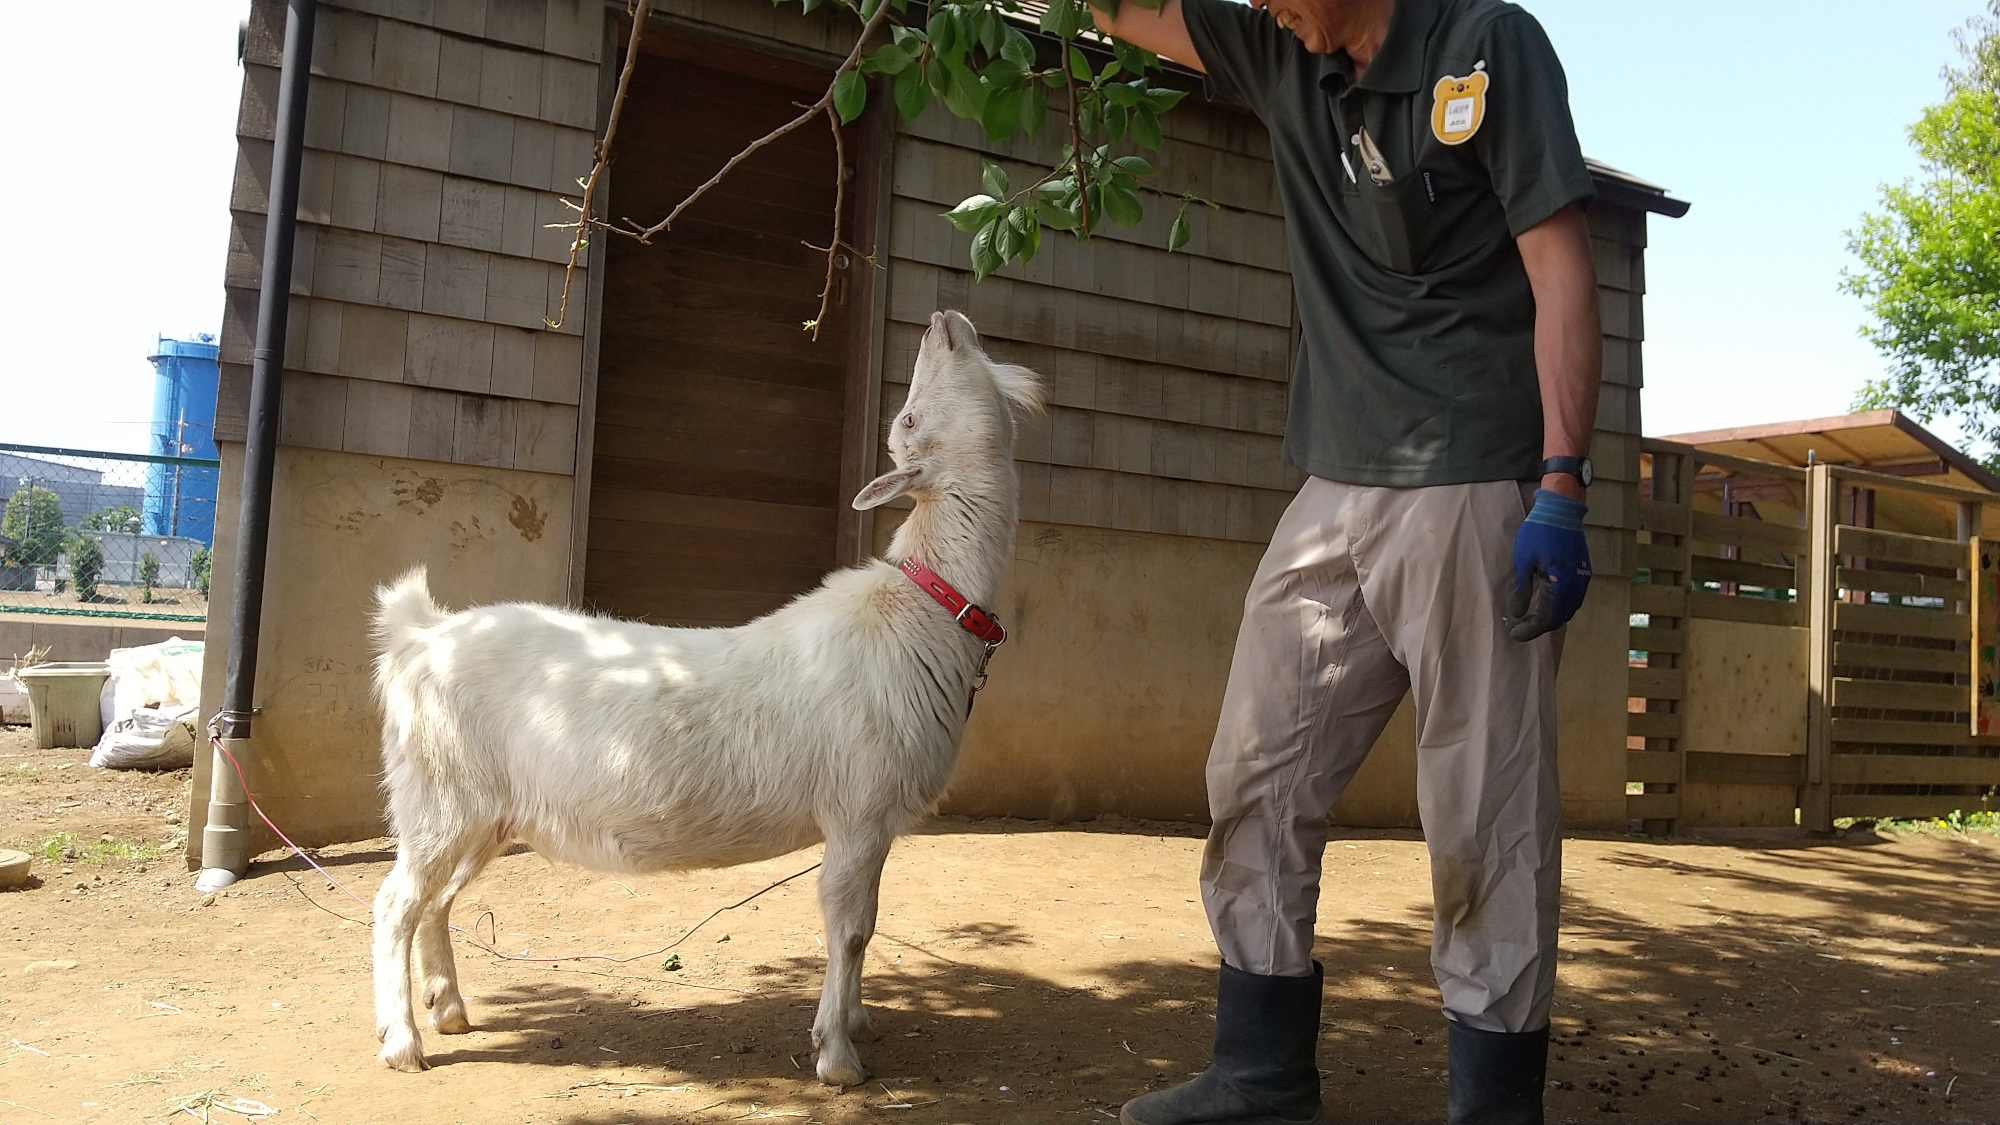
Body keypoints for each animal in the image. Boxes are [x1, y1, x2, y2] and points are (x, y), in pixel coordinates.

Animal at [370, 306, 1048, 1080]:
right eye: (907, 418)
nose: (944, 319)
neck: (918, 612)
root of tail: (419, 634)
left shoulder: (872, 823)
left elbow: (867, 928)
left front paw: (856, 1022)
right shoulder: (858, 810)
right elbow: (849, 929)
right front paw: (837, 1057)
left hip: (485, 810)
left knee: (436, 901)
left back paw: (448, 1008)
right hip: (438, 794)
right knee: (395, 903)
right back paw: (402, 1042)